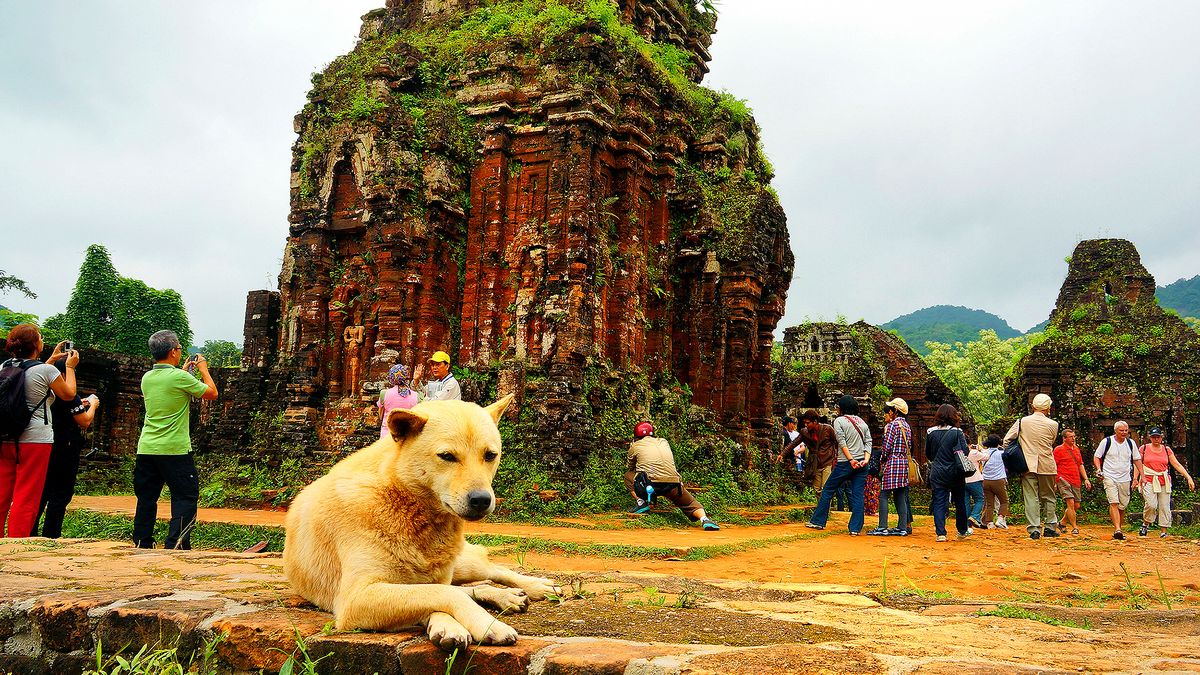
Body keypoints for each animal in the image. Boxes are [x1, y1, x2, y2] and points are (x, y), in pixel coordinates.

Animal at [283, 393, 559, 648]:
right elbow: (442, 594)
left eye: (490, 455)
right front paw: (480, 624)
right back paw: (506, 597)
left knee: (492, 570)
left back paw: (535, 586)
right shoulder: (356, 598)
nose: (481, 499)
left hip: (462, 565)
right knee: (464, 587)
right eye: (447, 456)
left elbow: (441, 591)